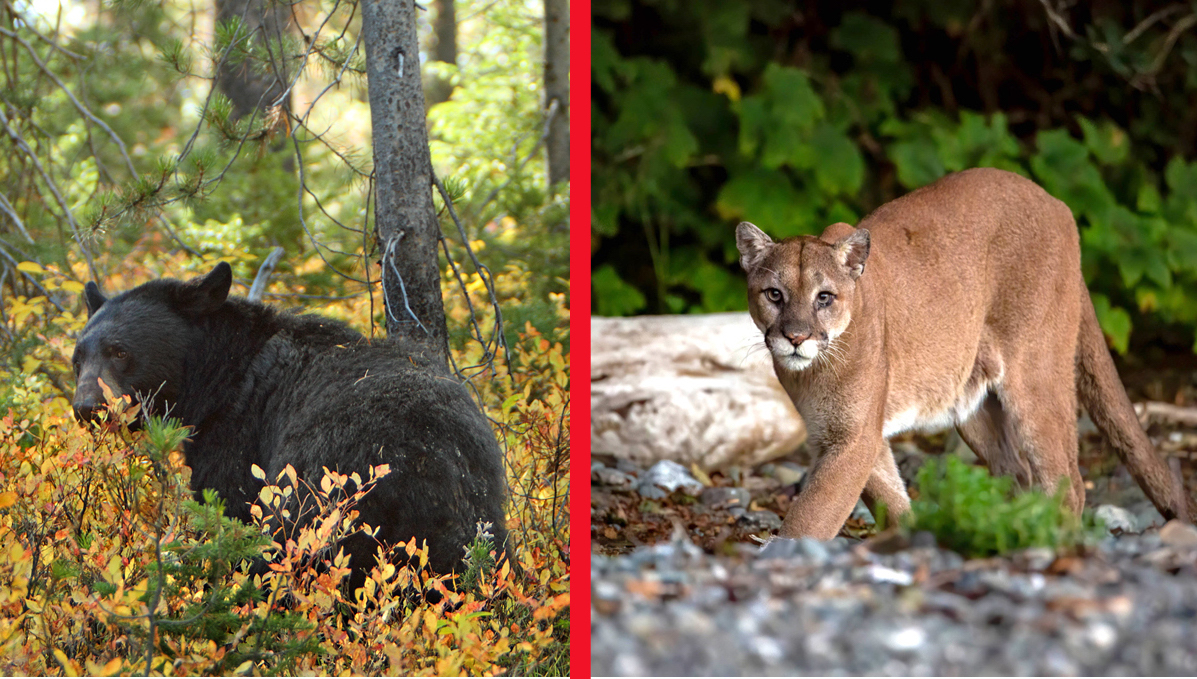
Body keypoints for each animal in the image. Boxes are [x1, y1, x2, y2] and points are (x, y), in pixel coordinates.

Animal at [70, 262, 509, 592]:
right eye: (78, 357)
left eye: (119, 352)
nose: (86, 407)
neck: (219, 376)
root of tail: (431, 464)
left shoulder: (238, 436)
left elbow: (228, 509)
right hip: (482, 519)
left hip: (321, 496)